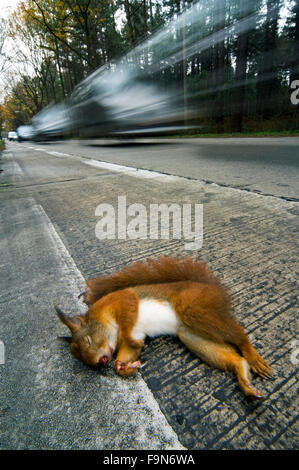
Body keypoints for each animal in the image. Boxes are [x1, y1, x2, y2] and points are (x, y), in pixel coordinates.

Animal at [55, 258, 272, 400]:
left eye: (88, 340)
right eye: (84, 362)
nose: (100, 361)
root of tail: (210, 287)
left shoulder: (123, 301)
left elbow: (127, 322)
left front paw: (131, 344)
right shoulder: (130, 338)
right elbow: (126, 355)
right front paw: (125, 366)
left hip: (192, 309)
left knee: (239, 334)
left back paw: (253, 358)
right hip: (193, 337)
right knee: (235, 359)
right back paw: (246, 382)